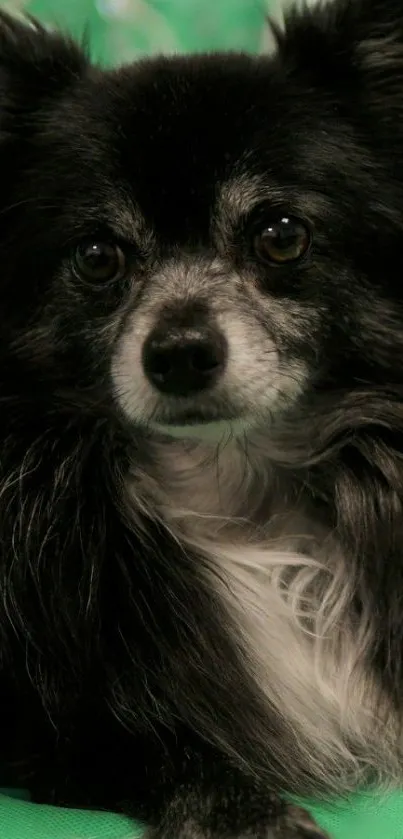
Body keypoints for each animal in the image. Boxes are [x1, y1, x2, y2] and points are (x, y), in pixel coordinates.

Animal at [0, 0, 403, 836]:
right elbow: (158, 744)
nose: (179, 352)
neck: (232, 488)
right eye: (98, 256)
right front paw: (248, 812)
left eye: (280, 235)